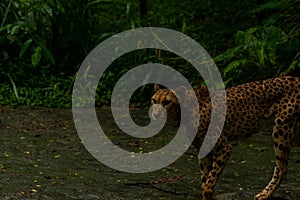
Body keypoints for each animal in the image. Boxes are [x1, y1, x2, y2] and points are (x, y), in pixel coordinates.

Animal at [151, 76, 298, 199]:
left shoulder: (224, 148)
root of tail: (295, 78)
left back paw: (264, 195)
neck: (185, 110)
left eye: (166, 102)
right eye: (154, 100)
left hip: (281, 130)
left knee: (282, 169)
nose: (155, 115)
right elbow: (206, 180)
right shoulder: (204, 150)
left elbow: (208, 184)